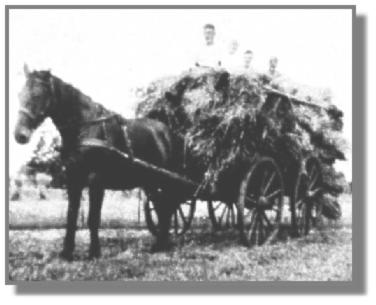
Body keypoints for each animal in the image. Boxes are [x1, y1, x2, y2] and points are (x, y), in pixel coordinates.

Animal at [14, 64, 184, 258]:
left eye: (37, 95)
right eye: (19, 94)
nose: (20, 135)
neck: (86, 127)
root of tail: (168, 132)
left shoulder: (96, 180)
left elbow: (93, 218)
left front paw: (94, 251)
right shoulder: (74, 179)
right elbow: (71, 216)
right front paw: (67, 252)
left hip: (162, 180)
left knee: (167, 207)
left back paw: (162, 244)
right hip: (151, 181)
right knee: (163, 207)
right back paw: (162, 244)